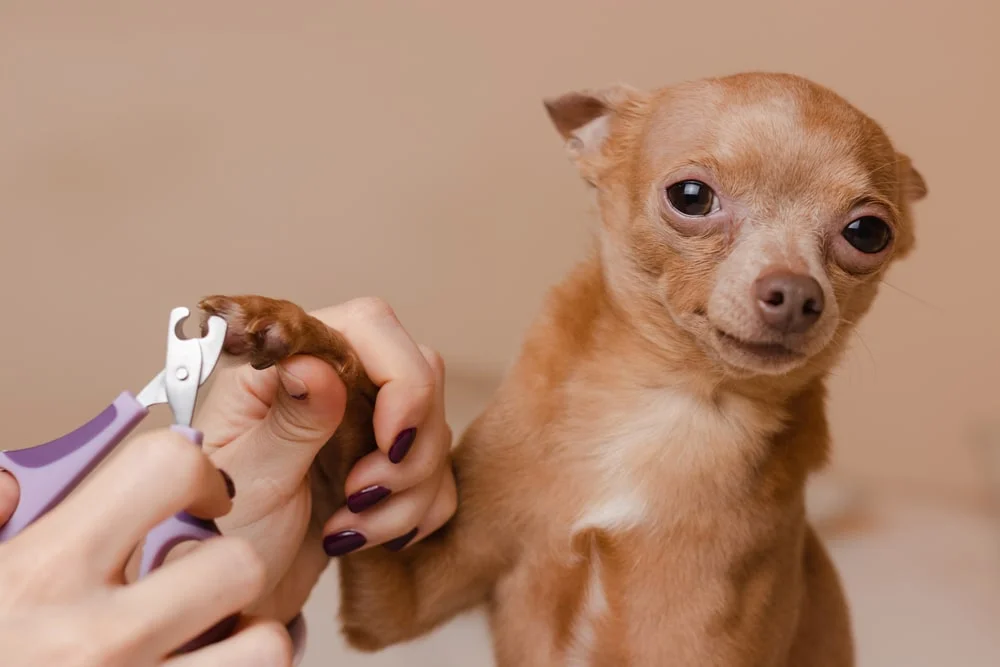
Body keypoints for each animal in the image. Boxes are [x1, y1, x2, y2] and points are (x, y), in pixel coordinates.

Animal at [199, 73, 924, 667]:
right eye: (691, 196)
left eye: (867, 234)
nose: (797, 294)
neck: (669, 401)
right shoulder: (397, 600)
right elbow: (360, 411)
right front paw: (292, 329)